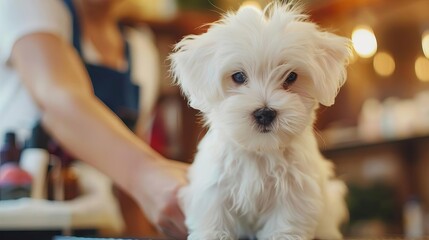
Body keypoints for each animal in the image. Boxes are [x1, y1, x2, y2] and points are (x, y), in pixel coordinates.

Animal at [171, 2, 352, 240]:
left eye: (291, 77)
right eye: (238, 76)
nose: (265, 113)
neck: (259, 151)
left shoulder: (294, 195)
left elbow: (284, 227)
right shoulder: (213, 189)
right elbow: (213, 221)